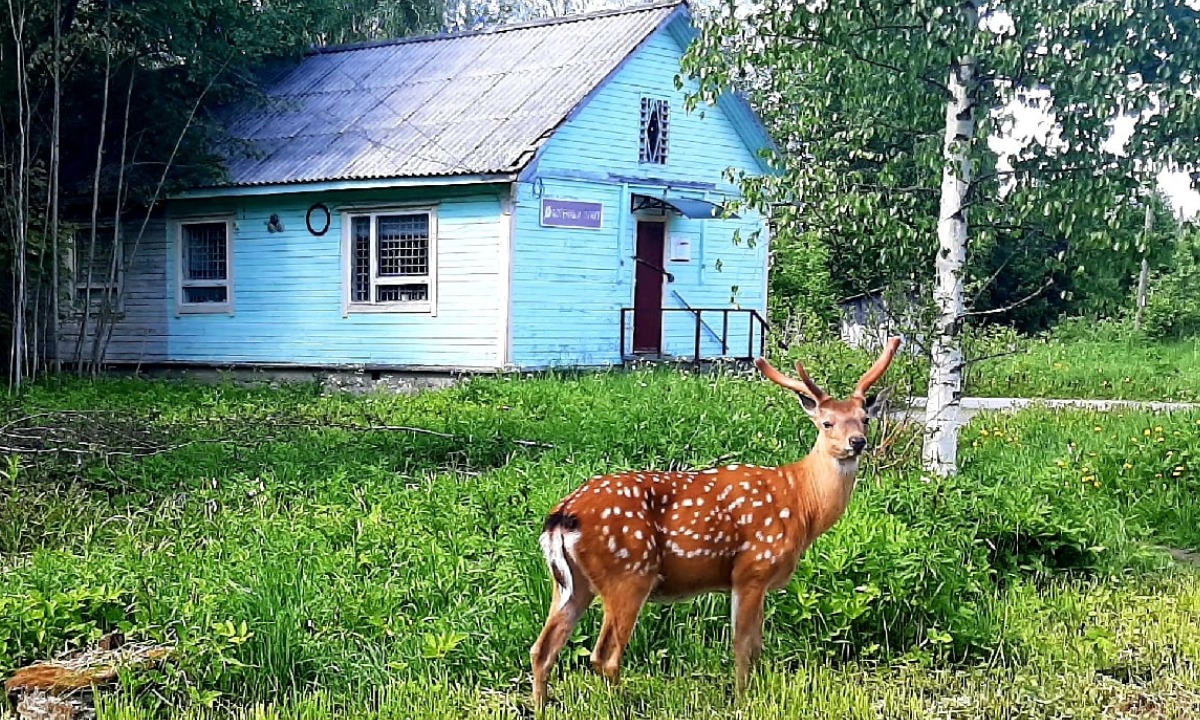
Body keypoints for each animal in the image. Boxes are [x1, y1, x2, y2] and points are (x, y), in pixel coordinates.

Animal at [530, 338, 902, 710]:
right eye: (826, 423)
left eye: (864, 419)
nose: (857, 442)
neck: (801, 502)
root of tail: (563, 516)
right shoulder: (752, 569)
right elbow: (744, 646)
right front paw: (742, 698)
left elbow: (756, 645)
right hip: (628, 573)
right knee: (605, 655)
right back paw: (625, 704)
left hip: (572, 583)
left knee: (542, 648)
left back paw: (543, 705)